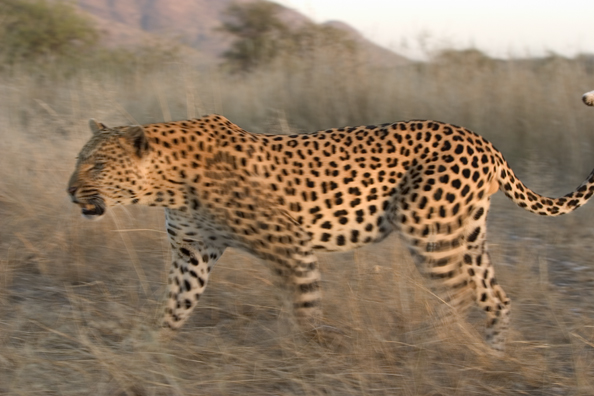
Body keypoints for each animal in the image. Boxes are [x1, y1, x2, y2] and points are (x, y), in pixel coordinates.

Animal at [68, 89, 594, 350]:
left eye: (96, 165)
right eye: (79, 160)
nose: (70, 190)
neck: (166, 184)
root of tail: (484, 142)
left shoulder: (288, 243)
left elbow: (304, 304)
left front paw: (318, 344)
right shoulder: (192, 252)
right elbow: (176, 306)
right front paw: (147, 344)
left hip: (427, 228)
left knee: (460, 290)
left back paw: (425, 341)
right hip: (466, 234)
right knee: (494, 295)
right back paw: (491, 351)